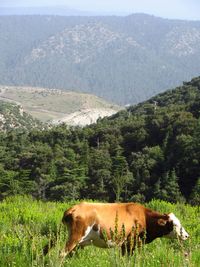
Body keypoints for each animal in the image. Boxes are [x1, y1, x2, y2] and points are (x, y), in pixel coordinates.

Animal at [58, 203, 188, 260]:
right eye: (175, 224)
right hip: (75, 236)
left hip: (78, 242)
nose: (187, 235)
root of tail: (73, 208)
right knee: (62, 253)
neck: (144, 217)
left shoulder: (124, 244)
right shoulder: (131, 242)